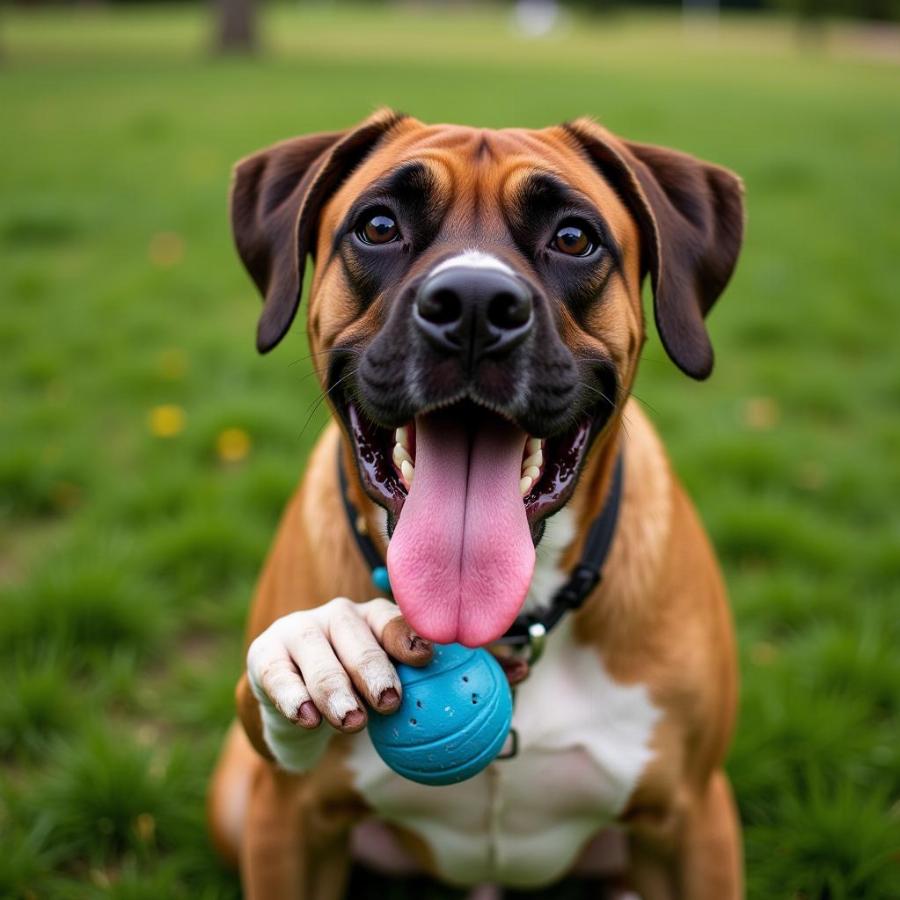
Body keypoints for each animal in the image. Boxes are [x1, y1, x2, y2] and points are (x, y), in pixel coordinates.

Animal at [209, 110, 744, 900]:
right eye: (378, 225)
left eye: (574, 238)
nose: (472, 304)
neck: (508, 624)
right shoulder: (287, 819)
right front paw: (322, 643)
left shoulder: (692, 821)